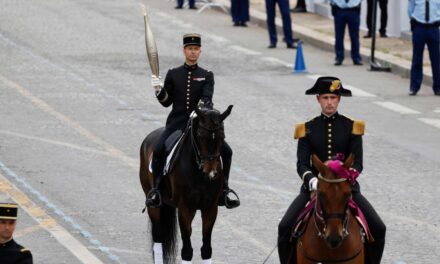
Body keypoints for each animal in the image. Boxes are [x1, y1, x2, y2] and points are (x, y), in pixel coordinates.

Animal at [141, 105, 234, 264]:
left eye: (222, 136)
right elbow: (187, 251)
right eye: (200, 135)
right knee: (158, 237)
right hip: (154, 203)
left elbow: (206, 249)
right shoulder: (185, 209)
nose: (211, 172)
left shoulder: (210, 208)